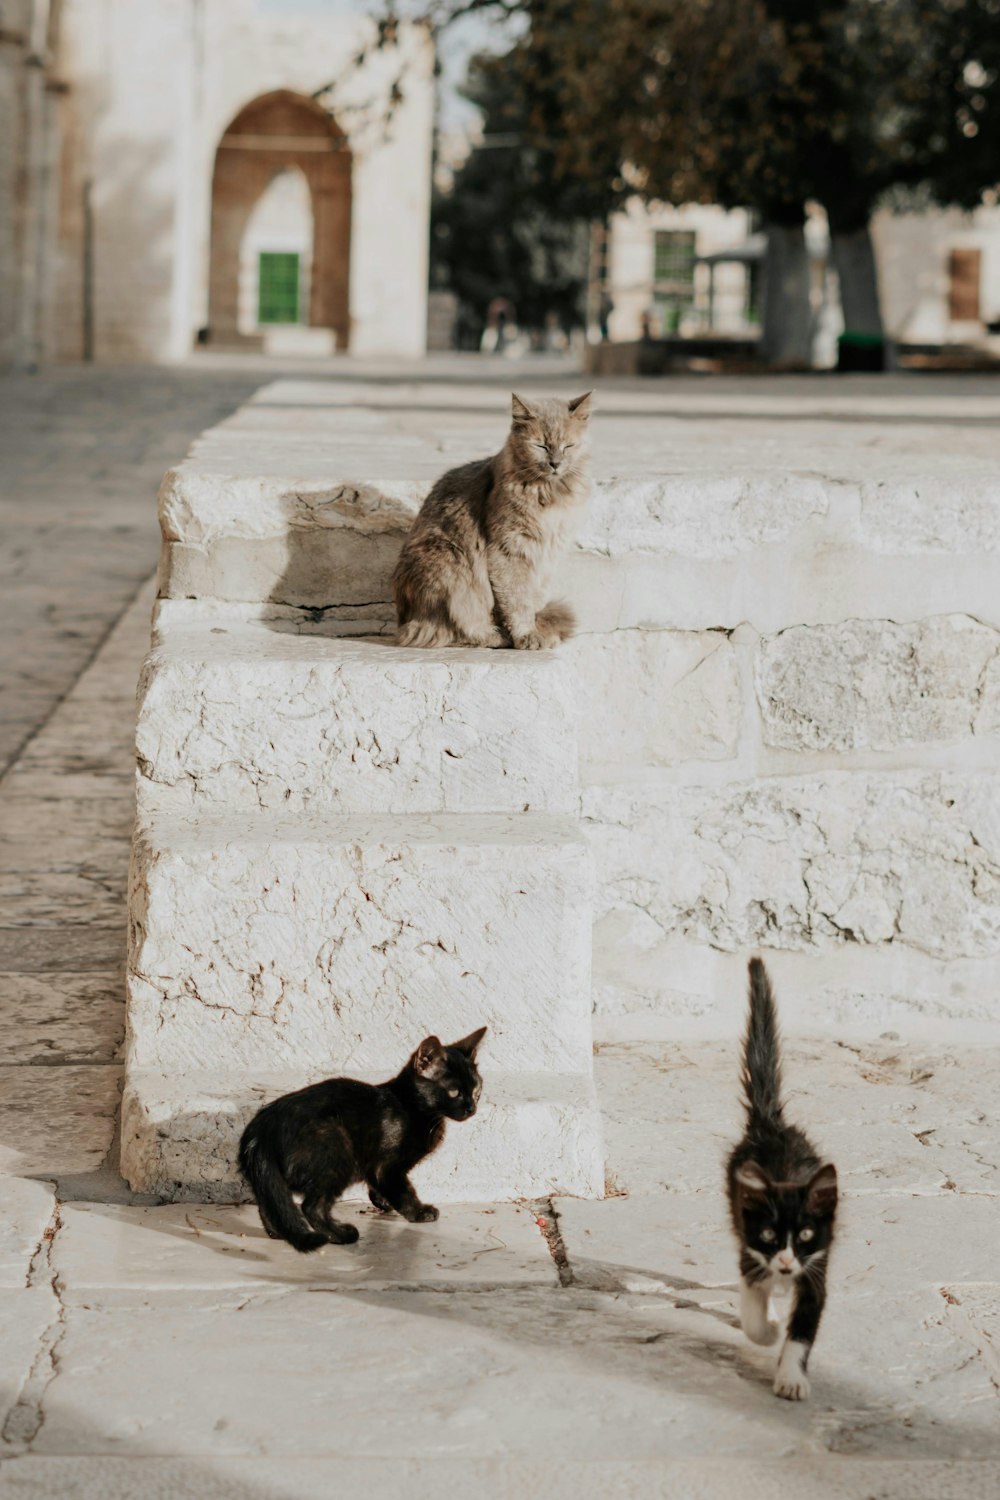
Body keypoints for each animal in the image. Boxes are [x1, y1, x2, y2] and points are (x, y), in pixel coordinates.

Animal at [235, 1032, 485, 1254]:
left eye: (477, 1089)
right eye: (454, 1092)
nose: (471, 1108)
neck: (411, 1106)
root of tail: (263, 1126)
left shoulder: (376, 1167)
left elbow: (380, 1186)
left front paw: (382, 1202)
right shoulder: (386, 1167)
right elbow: (403, 1190)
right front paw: (420, 1213)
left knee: (270, 1200)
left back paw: (280, 1231)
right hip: (337, 1151)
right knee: (312, 1207)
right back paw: (341, 1234)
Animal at [392, 390, 593, 648]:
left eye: (568, 445)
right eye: (541, 446)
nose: (555, 464)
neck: (551, 494)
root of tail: (405, 618)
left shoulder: (547, 555)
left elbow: (534, 599)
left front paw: (537, 630)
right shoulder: (508, 550)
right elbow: (517, 602)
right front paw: (527, 637)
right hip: (448, 562)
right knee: (453, 629)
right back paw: (494, 636)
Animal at [728, 960, 839, 1404]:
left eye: (806, 1233)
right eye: (771, 1234)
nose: (788, 1261)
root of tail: (770, 1126)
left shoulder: (817, 1270)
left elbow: (803, 1333)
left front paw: (791, 1377)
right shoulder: (750, 1245)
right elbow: (752, 1308)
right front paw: (768, 1330)